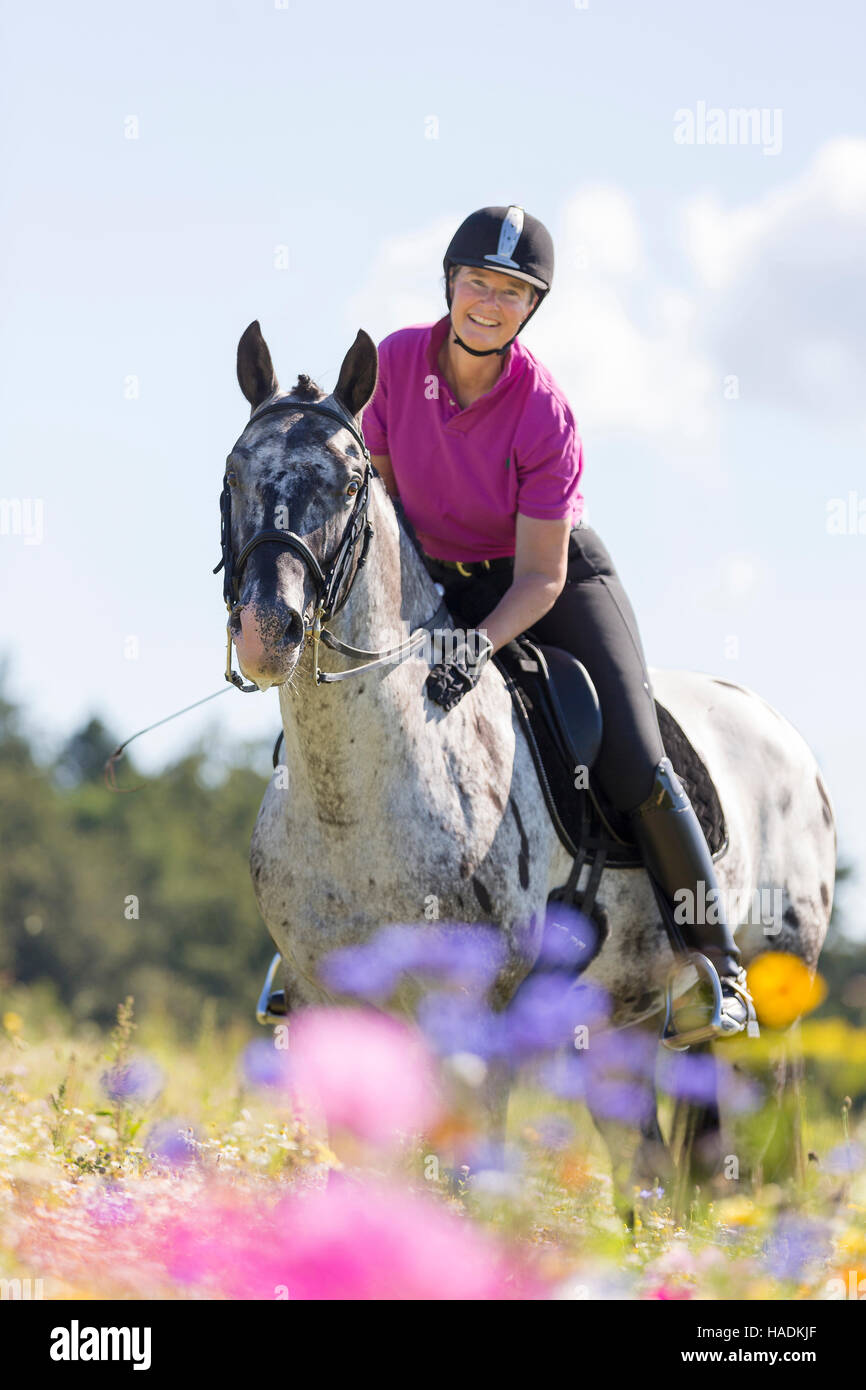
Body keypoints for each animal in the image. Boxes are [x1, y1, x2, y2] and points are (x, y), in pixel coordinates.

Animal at [221, 320, 836, 1221]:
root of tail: (783, 733)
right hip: (614, 1023)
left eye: (347, 485)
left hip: (776, 1003)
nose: (270, 629)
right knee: (649, 1173)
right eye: (234, 473)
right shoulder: (328, 1005)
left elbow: (465, 1181)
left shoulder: (475, 1019)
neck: (354, 796)